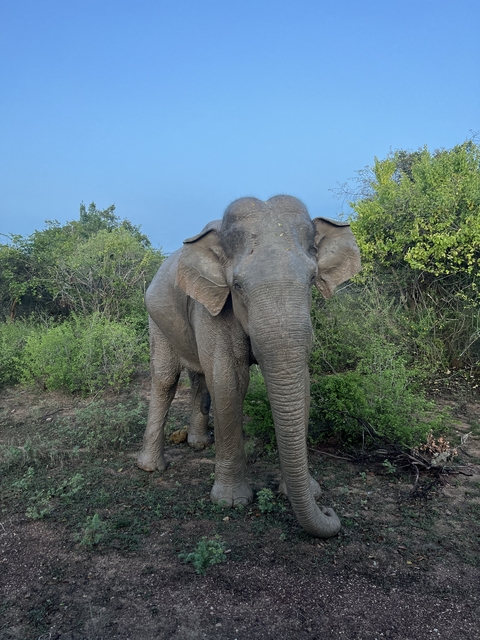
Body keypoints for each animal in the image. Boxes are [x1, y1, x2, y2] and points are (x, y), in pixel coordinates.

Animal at [137, 195, 361, 538]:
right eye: (238, 286)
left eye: (312, 279)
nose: (330, 512)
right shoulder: (212, 304)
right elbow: (229, 383)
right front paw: (231, 502)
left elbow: (302, 385)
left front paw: (308, 491)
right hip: (156, 317)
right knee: (165, 379)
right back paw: (150, 466)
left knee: (199, 377)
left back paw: (199, 444)